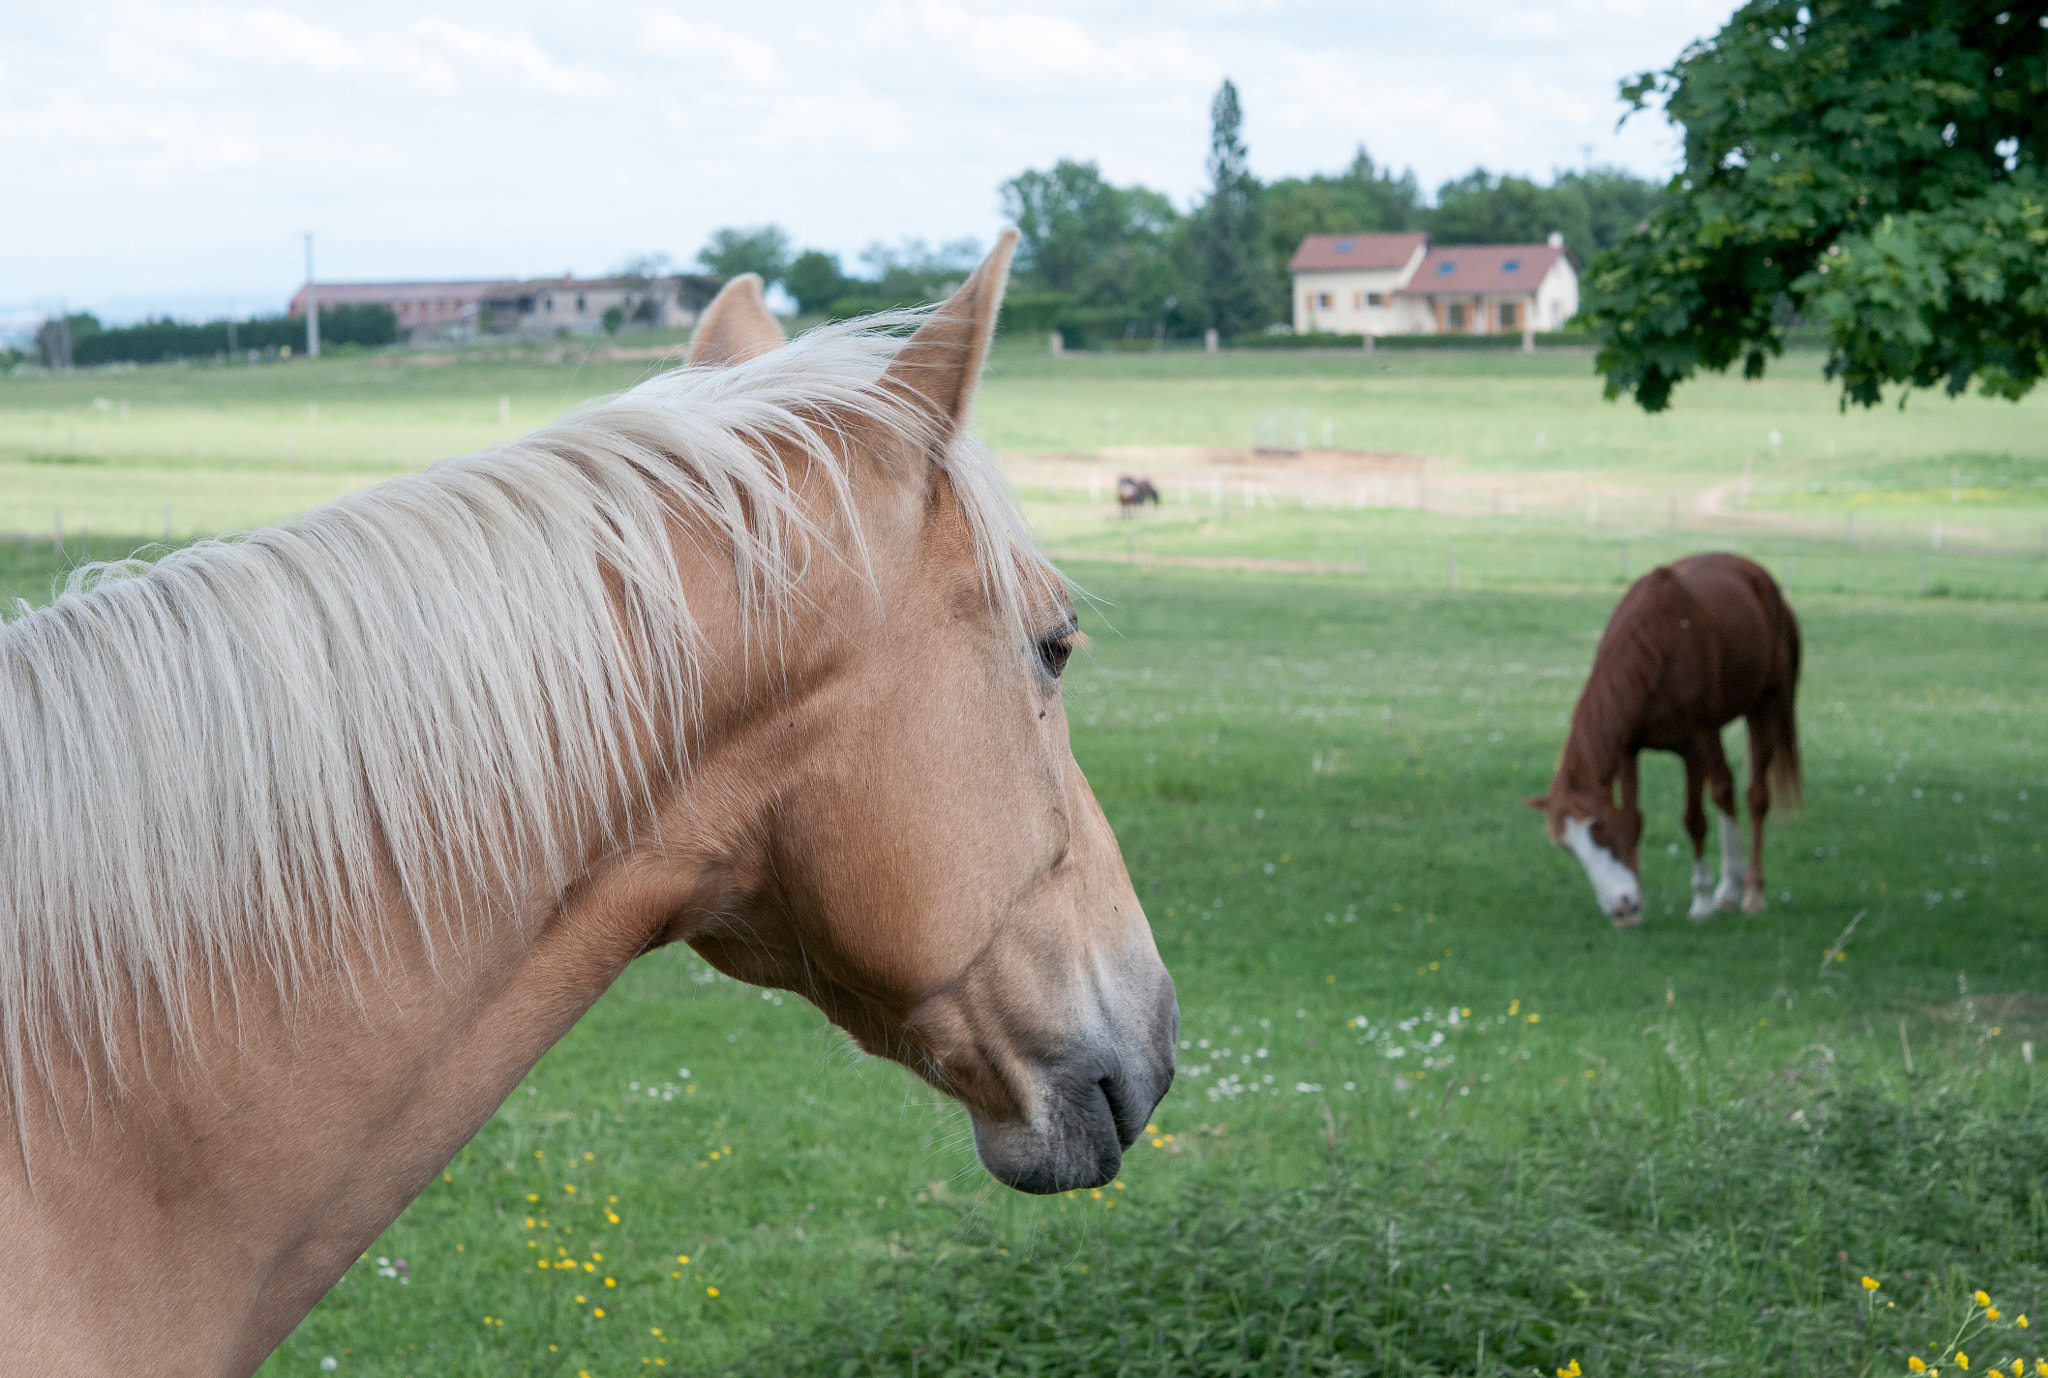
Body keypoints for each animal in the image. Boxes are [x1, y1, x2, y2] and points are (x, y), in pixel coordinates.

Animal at [1526, 552, 1802, 926]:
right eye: (1569, 847)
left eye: (1599, 829)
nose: (1620, 905)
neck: (1659, 644)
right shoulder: (1628, 750)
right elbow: (1633, 818)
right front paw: (1636, 907)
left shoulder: (1695, 742)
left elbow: (1695, 820)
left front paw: (1701, 901)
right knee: (1725, 787)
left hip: (1764, 708)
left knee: (1752, 796)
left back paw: (1748, 892)